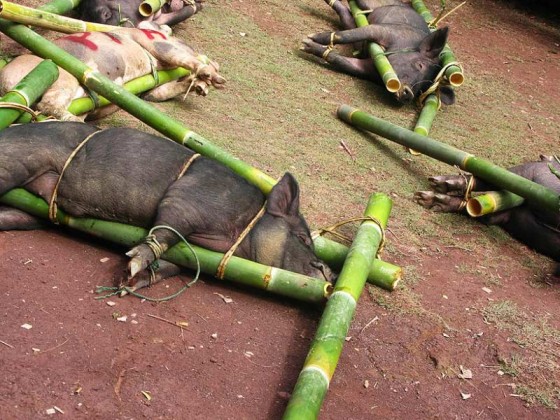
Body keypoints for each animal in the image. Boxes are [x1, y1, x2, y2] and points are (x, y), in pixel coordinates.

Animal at [0, 26, 225, 121]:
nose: (216, 68)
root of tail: (6, 83)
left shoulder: (147, 90)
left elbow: (158, 93)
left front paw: (203, 86)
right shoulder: (154, 43)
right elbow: (182, 58)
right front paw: (213, 78)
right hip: (62, 75)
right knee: (48, 105)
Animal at [302, 0, 456, 104]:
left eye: (425, 87)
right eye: (420, 65)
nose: (409, 94)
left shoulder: (368, 68)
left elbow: (343, 62)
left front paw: (306, 45)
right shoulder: (385, 30)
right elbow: (350, 35)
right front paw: (309, 38)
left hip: (353, 19)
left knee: (345, 12)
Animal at [416, 158, 560, 272]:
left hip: (509, 215)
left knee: (484, 210)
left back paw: (429, 198)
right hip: (531, 175)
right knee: (502, 178)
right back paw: (439, 184)